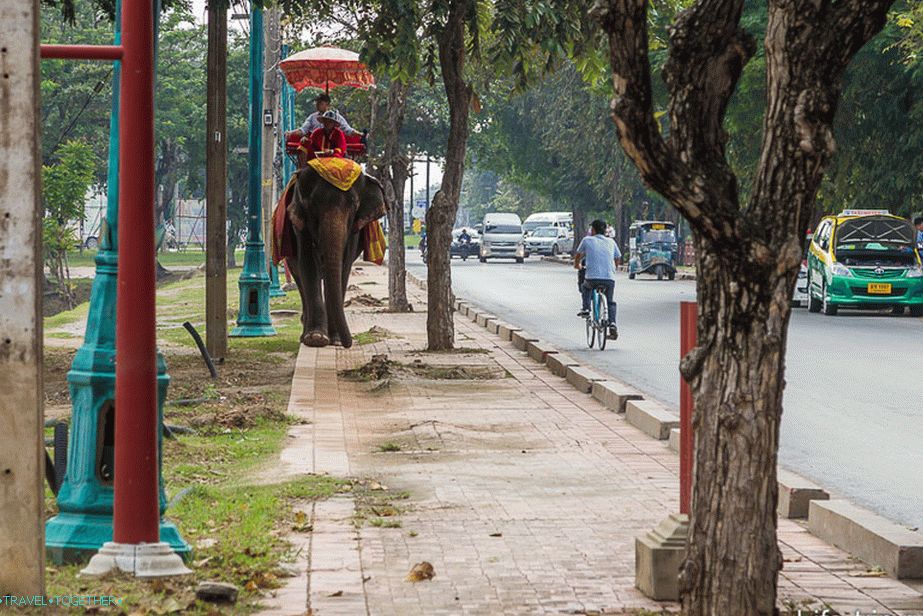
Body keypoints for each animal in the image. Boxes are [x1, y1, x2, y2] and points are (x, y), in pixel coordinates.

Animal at [286, 162, 388, 346]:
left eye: (354, 205)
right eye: (313, 204)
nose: (348, 343)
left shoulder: (355, 228)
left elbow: (344, 265)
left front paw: (336, 340)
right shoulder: (299, 223)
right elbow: (308, 264)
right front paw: (316, 339)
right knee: (300, 278)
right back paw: (305, 336)